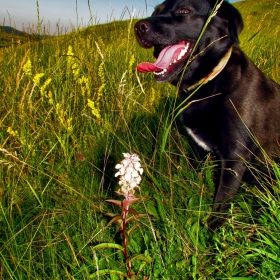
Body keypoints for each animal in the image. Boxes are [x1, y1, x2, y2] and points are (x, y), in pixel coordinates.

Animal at [135, 0, 280, 230]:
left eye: (184, 10)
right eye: (156, 11)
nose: (138, 27)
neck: (207, 85)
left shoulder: (234, 157)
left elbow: (220, 203)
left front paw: (212, 236)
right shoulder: (198, 148)